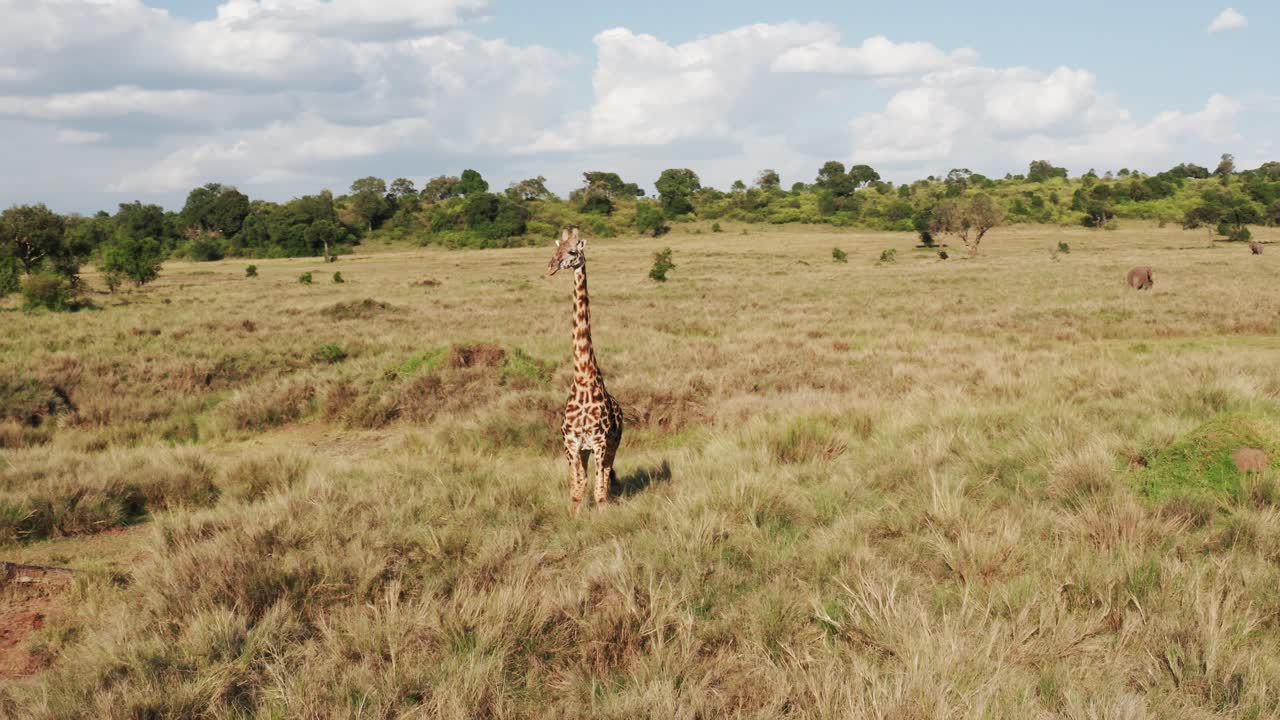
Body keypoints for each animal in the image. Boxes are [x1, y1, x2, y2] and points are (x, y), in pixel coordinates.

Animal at [547, 227, 624, 516]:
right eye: (555, 249)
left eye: (572, 251)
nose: (551, 266)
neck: (581, 377)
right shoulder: (570, 443)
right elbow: (577, 487)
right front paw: (574, 517)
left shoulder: (600, 441)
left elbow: (599, 490)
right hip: (585, 449)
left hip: (612, 444)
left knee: (605, 476)